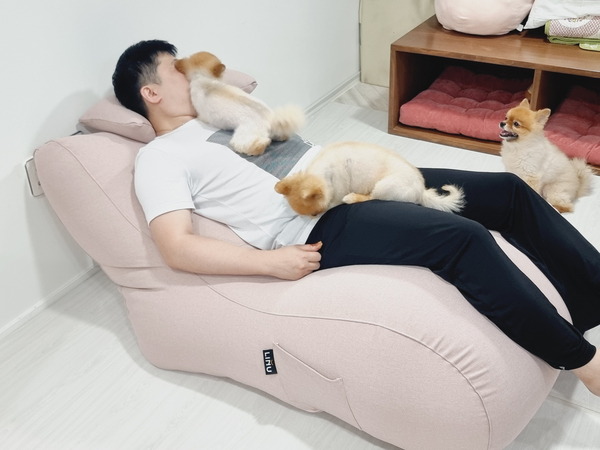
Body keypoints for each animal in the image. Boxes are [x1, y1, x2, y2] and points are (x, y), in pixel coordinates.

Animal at [175, 51, 305, 156]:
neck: (202, 78)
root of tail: (273, 118)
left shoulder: (202, 116)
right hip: (276, 132)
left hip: (244, 136)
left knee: (259, 144)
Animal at [274, 141, 465, 216]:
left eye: (316, 213)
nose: (314, 218)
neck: (325, 171)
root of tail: (421, 191)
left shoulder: (336, 194)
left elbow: (335, 201)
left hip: (384, 187)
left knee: (370, 197)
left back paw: (352, 198)